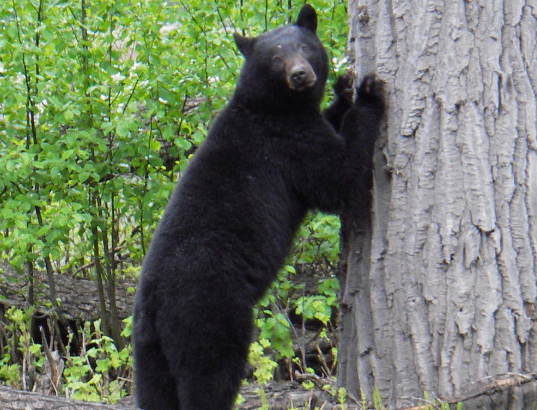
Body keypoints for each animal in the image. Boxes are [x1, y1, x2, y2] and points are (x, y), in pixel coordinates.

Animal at [133, 4, 386, 410]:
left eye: (305, 46)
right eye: (276, 58)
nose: (300, 75)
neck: (272, 105)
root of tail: (154, 304)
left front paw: (344, 90)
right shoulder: (288, 144)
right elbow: (340, 177)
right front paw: (368, 93)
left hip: (147, 348)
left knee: (154, 390)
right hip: (208, 317)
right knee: (210, 376)